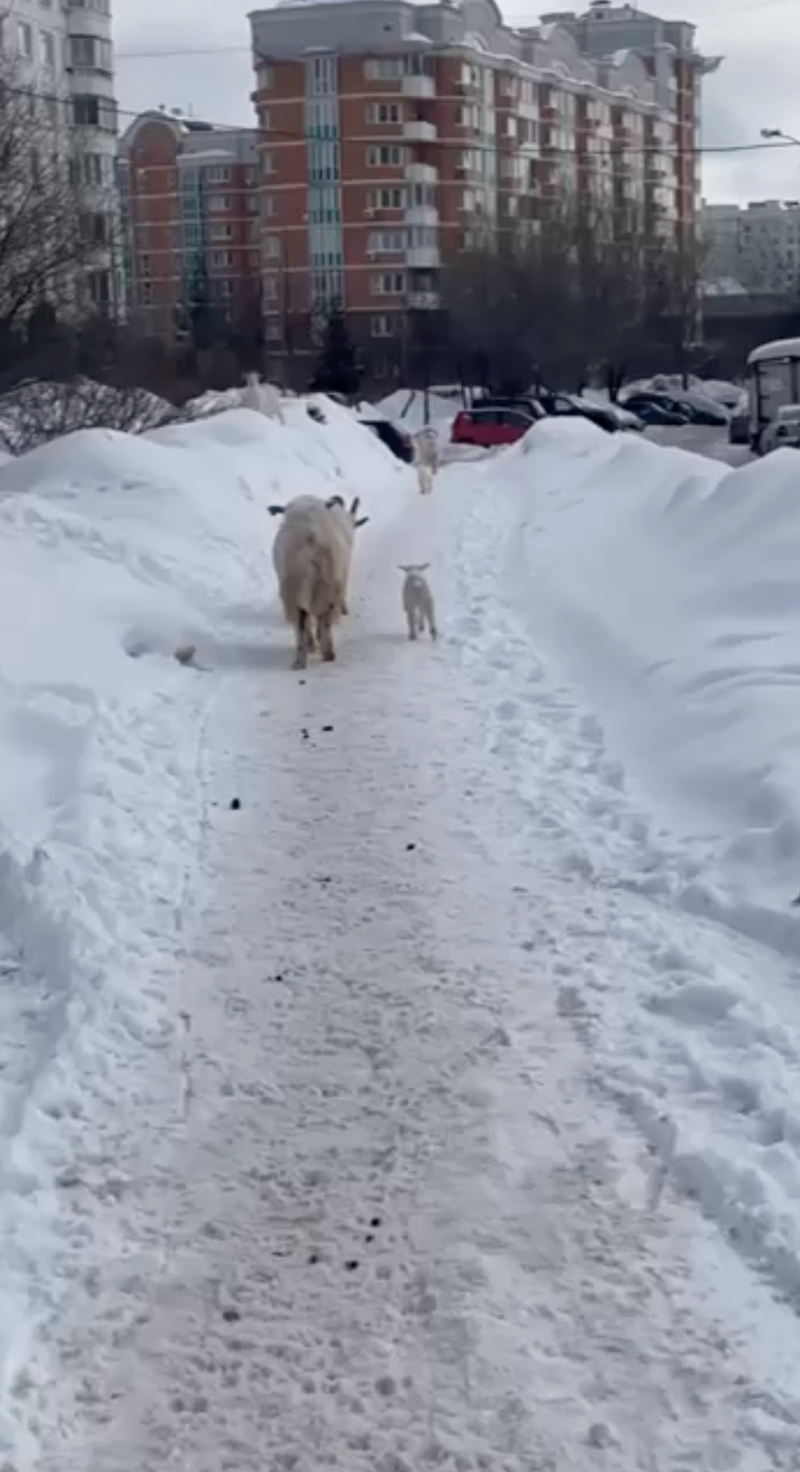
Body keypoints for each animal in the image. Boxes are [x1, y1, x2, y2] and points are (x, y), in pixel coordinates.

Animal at [269, 491, 369, 671]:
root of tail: (311, 537)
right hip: (328, 582)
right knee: (324, 616)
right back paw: (326, 653)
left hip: (295, 586)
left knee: (302, 619)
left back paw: (305, 655)